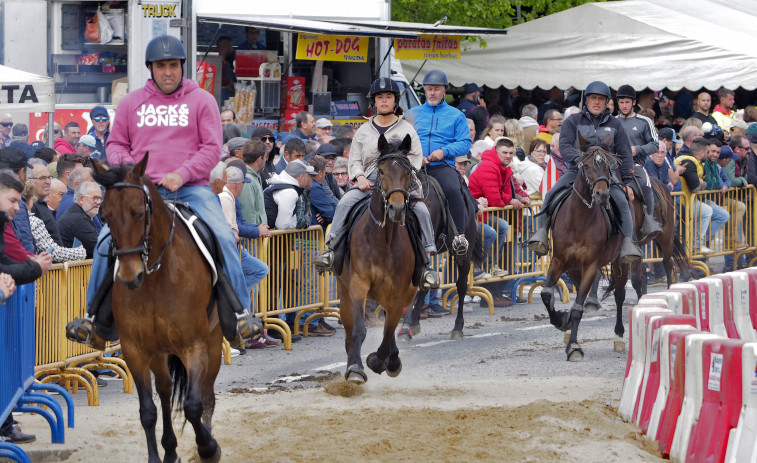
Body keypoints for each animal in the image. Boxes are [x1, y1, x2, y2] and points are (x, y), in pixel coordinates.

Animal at [91, 156, 221, 463]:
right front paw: (157, 455)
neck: (155, 279)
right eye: (106, 216)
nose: (130, 276)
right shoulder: (134, 350)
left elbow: (193, 405)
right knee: (164, 390)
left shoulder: (194, 345)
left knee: (206, 395)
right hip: (159, 353)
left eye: (139, 213)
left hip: (212, 347)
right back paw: (170, 448)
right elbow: (147, 411)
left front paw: (208, 447)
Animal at [342, 135, 422, 384]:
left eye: (407, 171)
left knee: (390, 326)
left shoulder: (398, 293)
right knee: (349, 331)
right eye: (382, 171)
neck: (382, 240)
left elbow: (388, 332)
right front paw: (356, 368)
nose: (396, 208)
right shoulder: (358, 285)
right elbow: (359, 330)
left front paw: (379, 361)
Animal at [540, 147, 624, 360]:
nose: (602, 194)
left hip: (623, 263)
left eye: (607, 166)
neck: (579, 221)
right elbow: (546, 294)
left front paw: (574, 347)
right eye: (586, 165)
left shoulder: (591, 267)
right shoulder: (559, 261)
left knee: (620, 295)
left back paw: (620, 337)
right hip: (573, 269)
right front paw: (562, 320)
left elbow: (578, 308)